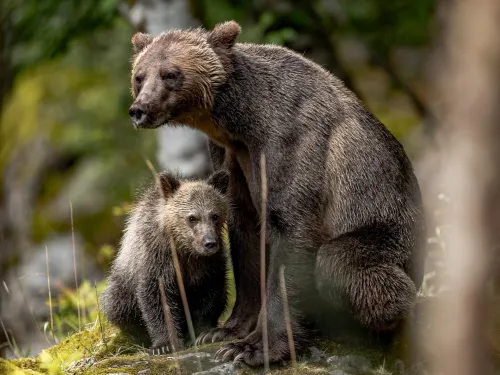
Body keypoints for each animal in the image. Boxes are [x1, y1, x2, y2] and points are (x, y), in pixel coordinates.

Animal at [127, 20, 424, 368]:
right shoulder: (231, 157)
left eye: (170, 74)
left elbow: (290, 230)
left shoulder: (289, 144)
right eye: (139, 76)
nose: (139, 110)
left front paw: (254, 348)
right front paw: (224, 331)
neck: (240, 122)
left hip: (391, 234)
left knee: (343, 264)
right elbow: (246, 234)